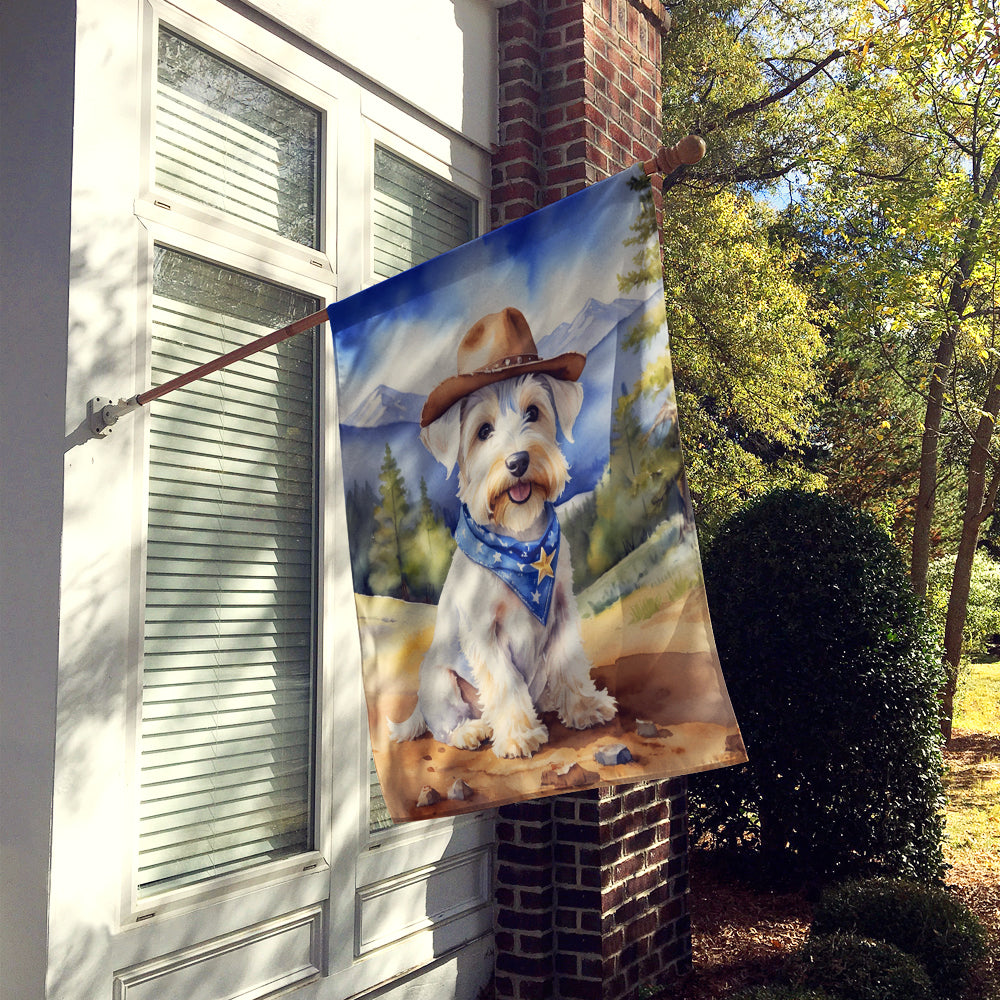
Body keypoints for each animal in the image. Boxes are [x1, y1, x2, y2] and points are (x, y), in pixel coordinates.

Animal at [384, 304, 612, 756]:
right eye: (483, 431)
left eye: (534, 412)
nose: (518, 462)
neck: (518, 541)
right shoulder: (482, 633)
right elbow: (505, 682)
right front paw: (520, 736)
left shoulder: (562, 609)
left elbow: (570, 663)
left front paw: (584, 706)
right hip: (439, 681)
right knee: (444, 724)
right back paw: (472, 730)